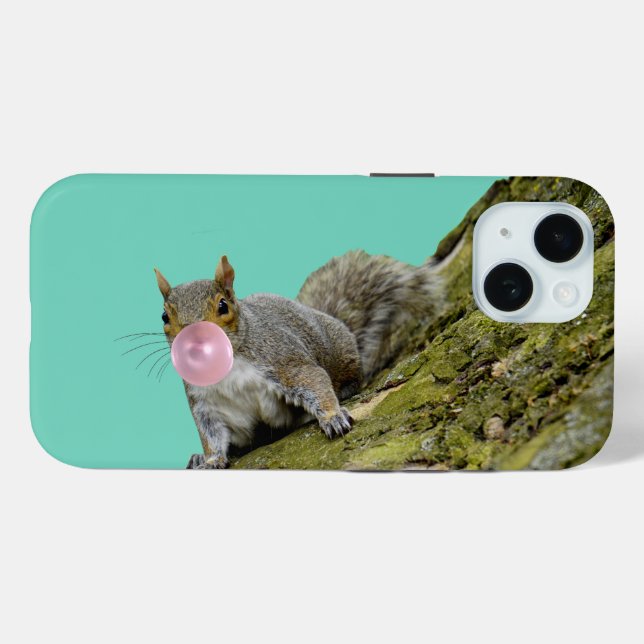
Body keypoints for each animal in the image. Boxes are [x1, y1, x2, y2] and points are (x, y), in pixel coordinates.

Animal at [154, 250, 445, 469]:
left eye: (223, 305)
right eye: (164, 316)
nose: (194, 339)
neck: (229, 366)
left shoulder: (282, 360)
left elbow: (313, 379)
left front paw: (332, 417)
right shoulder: (206, 403)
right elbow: (212, 434)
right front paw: (211, 459)